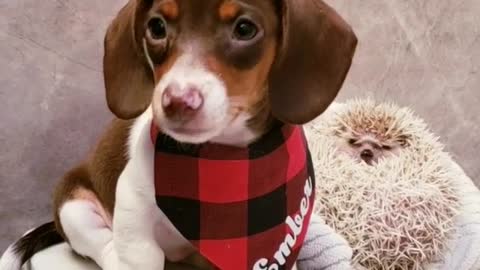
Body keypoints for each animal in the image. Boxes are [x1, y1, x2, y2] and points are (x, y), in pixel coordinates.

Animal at [0, 0, 356, 270]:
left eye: (245, 29)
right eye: (157, 27)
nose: (177, 101)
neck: (222, 157)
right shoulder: (134, 220)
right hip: (74, 207)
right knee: (105, 249)